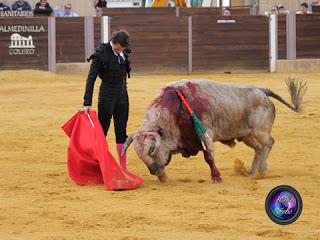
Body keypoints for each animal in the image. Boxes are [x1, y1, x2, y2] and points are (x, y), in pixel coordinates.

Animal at [122, 79, 304, 182]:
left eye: (152, 150)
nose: (154, 171)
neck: (174, 111)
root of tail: (262, 90)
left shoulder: (205, 135)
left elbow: (209, 157)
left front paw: (216, 177)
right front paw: (163, 177)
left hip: (260, 131)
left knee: (269, 143)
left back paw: (261, 171)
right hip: (246, 135)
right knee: (259, 148)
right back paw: (251, 171)